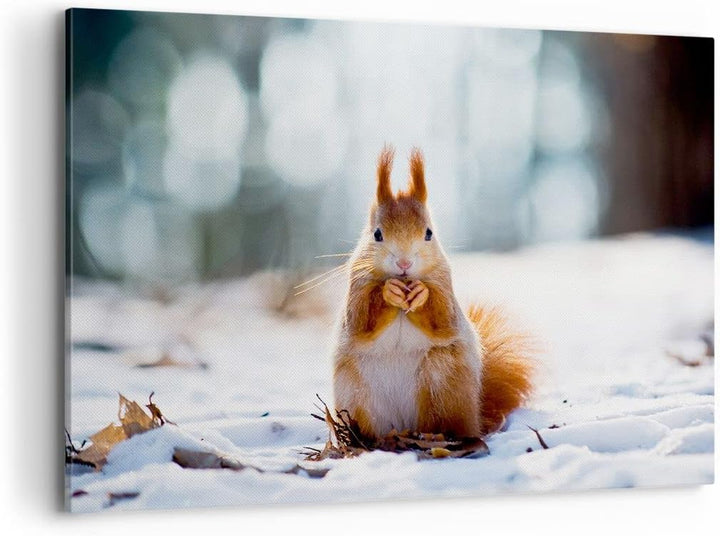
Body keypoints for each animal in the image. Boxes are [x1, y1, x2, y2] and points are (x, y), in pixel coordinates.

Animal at [332, 146, 534, 440]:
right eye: (377, 234)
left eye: (429, 233)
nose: (404, 264)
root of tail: (402, 425)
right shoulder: (356, 286)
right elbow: (360, 320)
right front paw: (388, 292)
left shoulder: (445, 286)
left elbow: (443, 319)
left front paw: (421, 294)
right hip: (355, 393)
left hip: (442, 381)